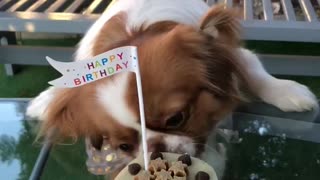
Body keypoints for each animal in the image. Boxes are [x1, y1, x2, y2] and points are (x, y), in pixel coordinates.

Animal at [26, 0, 318, 177]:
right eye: (124, 146)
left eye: (176, 118)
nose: (156, 147)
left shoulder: (233, 53)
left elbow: (256, 74)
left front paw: (290, 93)